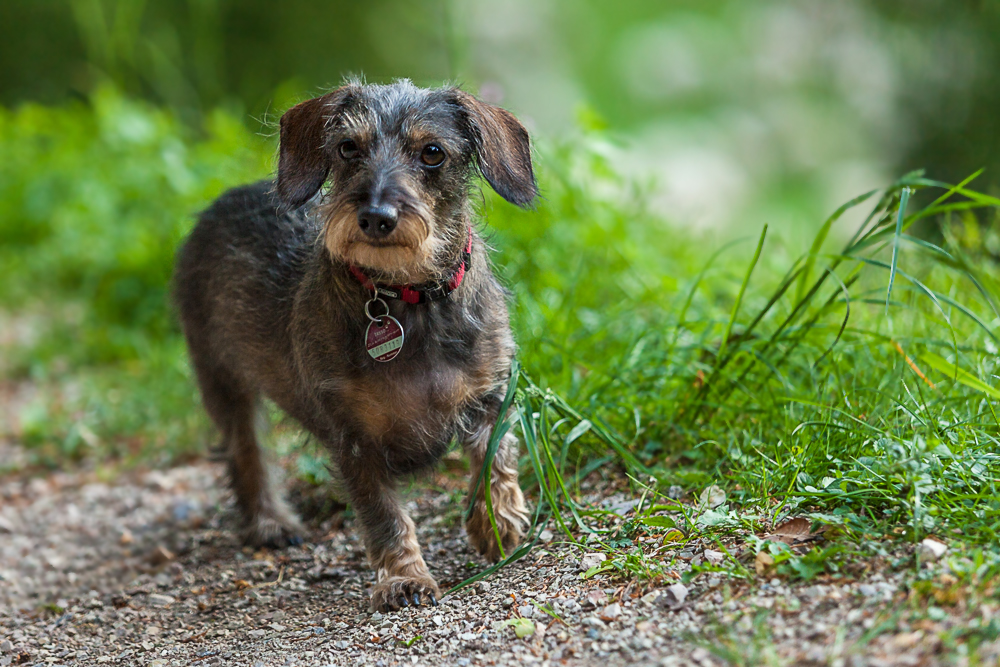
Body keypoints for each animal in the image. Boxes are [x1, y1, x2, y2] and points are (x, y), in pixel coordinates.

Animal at [176, 78, 544, 612]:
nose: (375, 216)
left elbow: (494, 462)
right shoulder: (353, 439)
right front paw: (404, 578)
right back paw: (270, 522)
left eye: (432, 152)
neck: (406, 297)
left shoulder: (489, 397)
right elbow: (385, 515)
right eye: (349, 148)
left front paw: (496, 525)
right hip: (221, 377)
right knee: (247, 452)